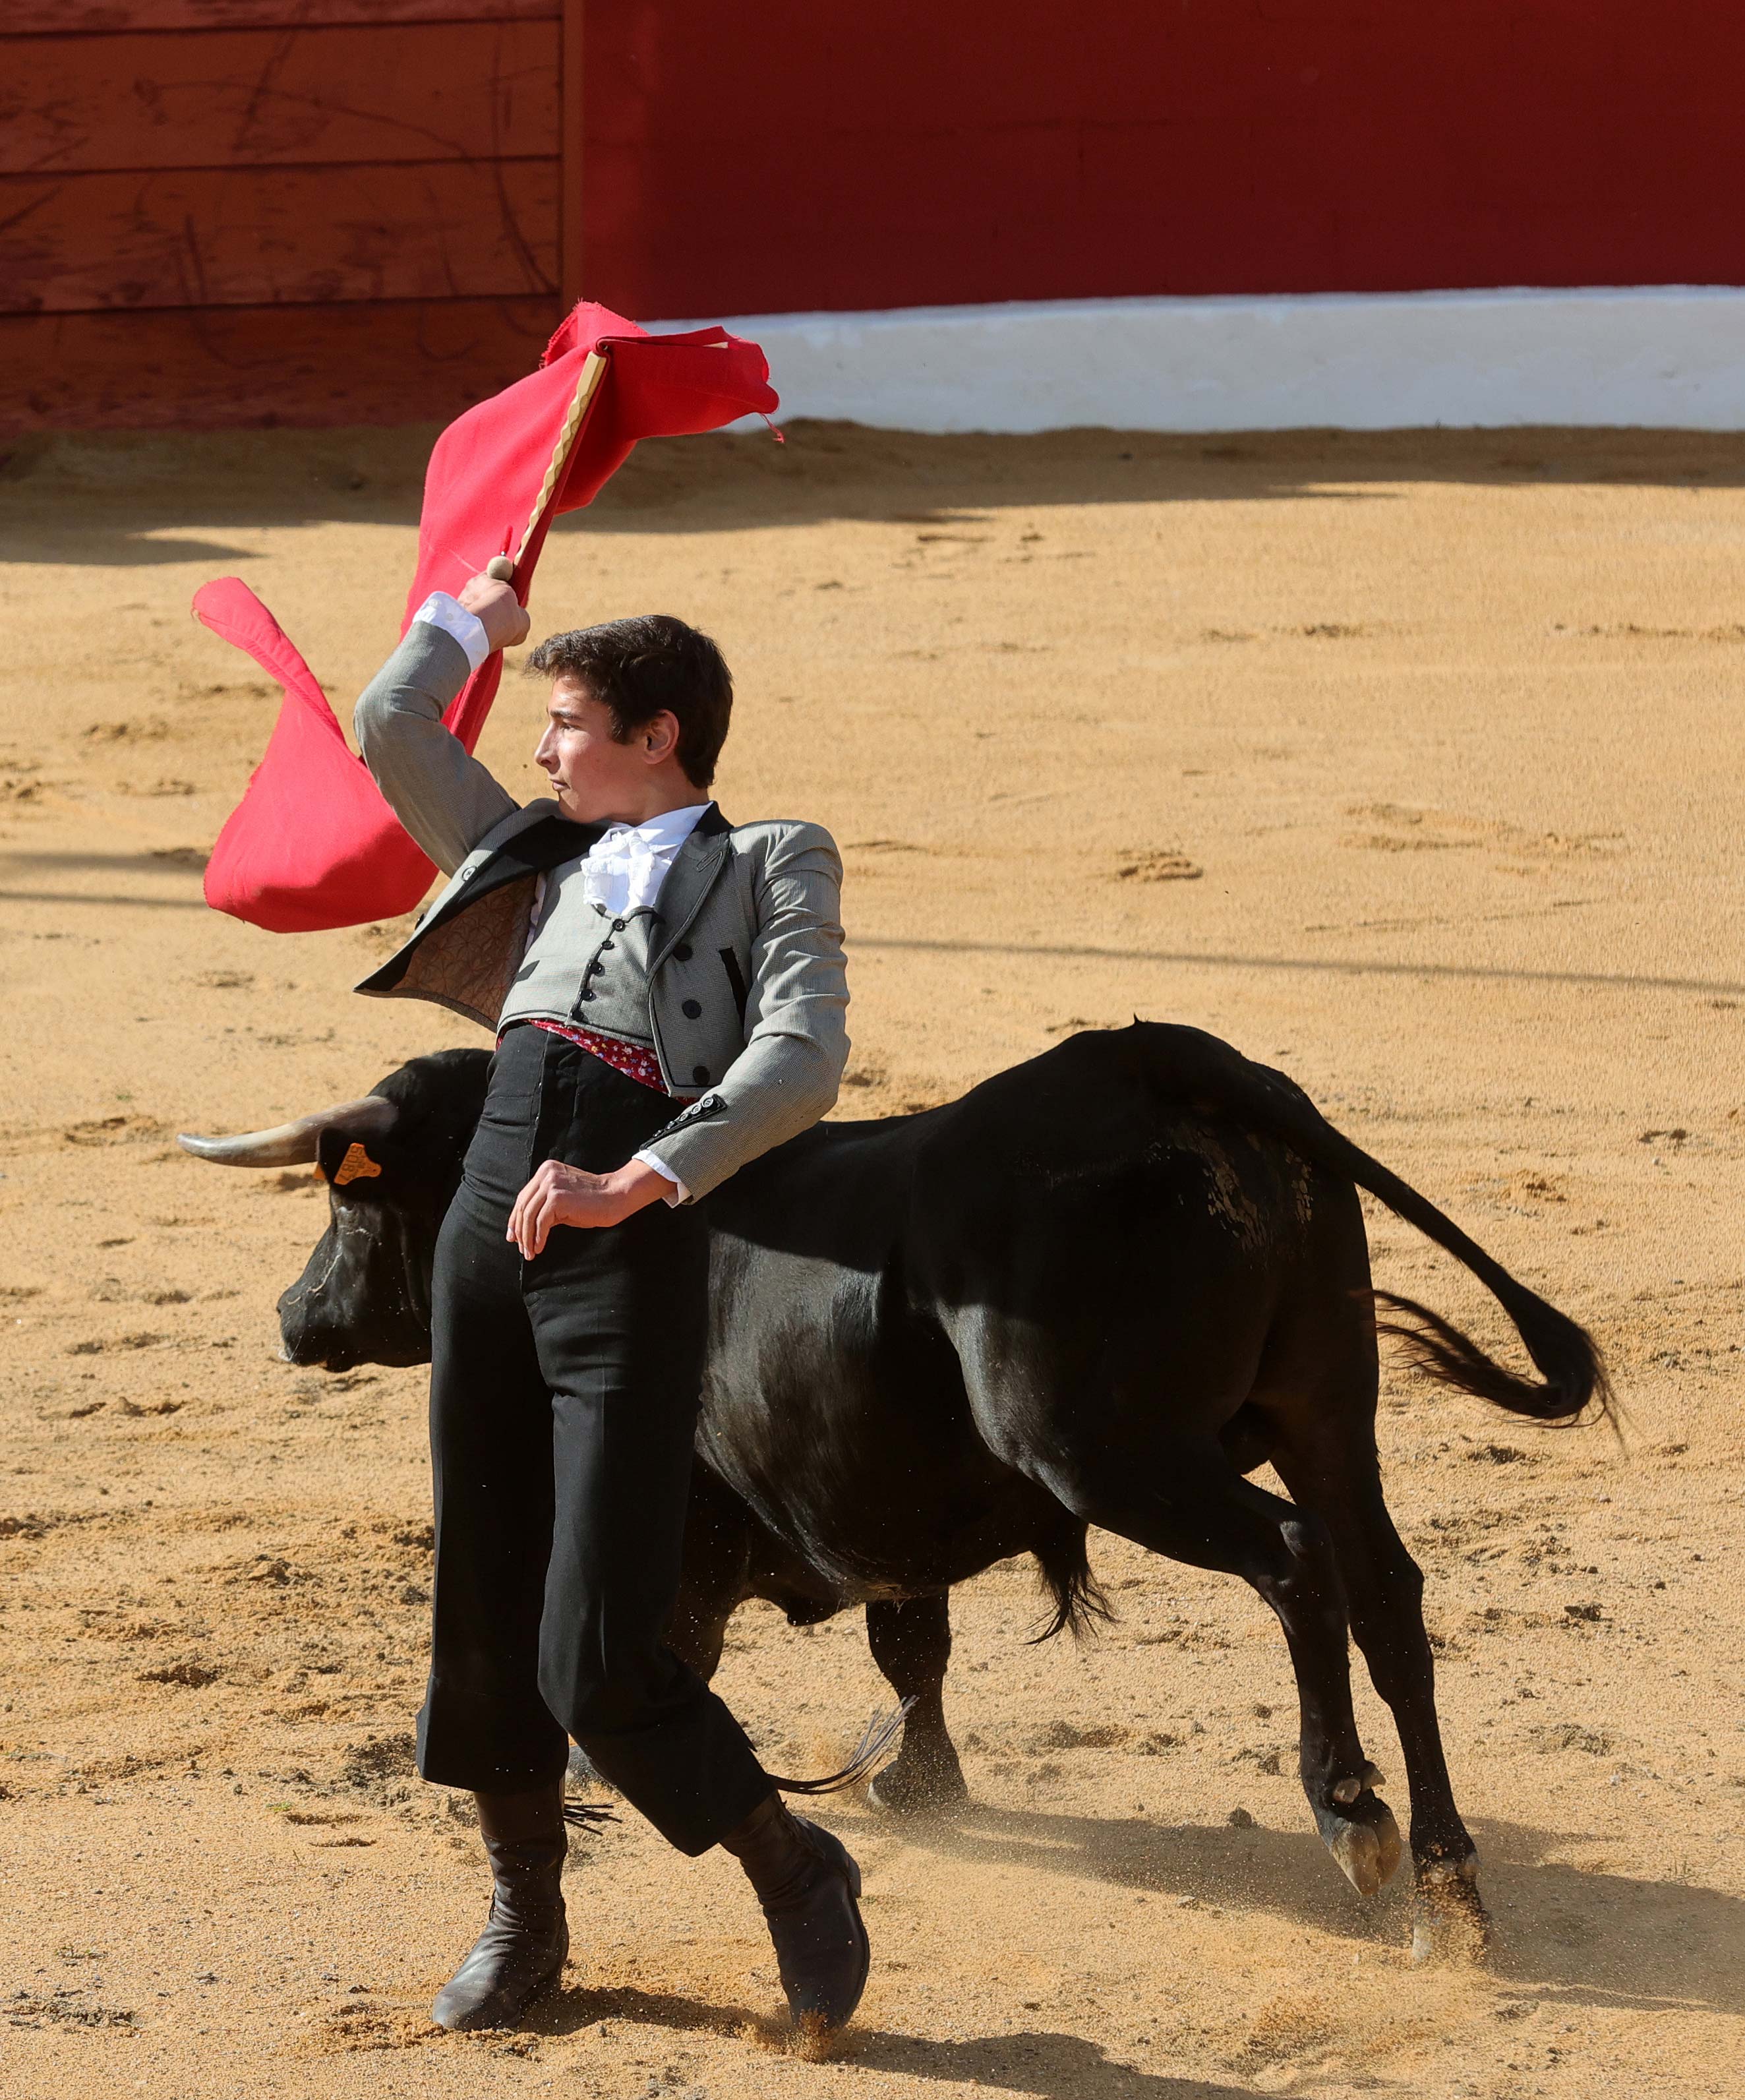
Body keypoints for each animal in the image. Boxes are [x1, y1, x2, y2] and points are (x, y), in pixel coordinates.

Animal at [180, 1025, 1612, 1957]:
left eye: (352, 1209)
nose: (293, 1317)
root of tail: (1164, 1060)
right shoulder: (883, 1508)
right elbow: (911, 1642)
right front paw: (922, 1782)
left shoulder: (684, 1526)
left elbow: (669, 1655)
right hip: (1326, 1411)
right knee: (1386, 1595)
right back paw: (1448, 1880)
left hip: (1119, 1453)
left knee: (1295, 1563)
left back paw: (1351, 1813)